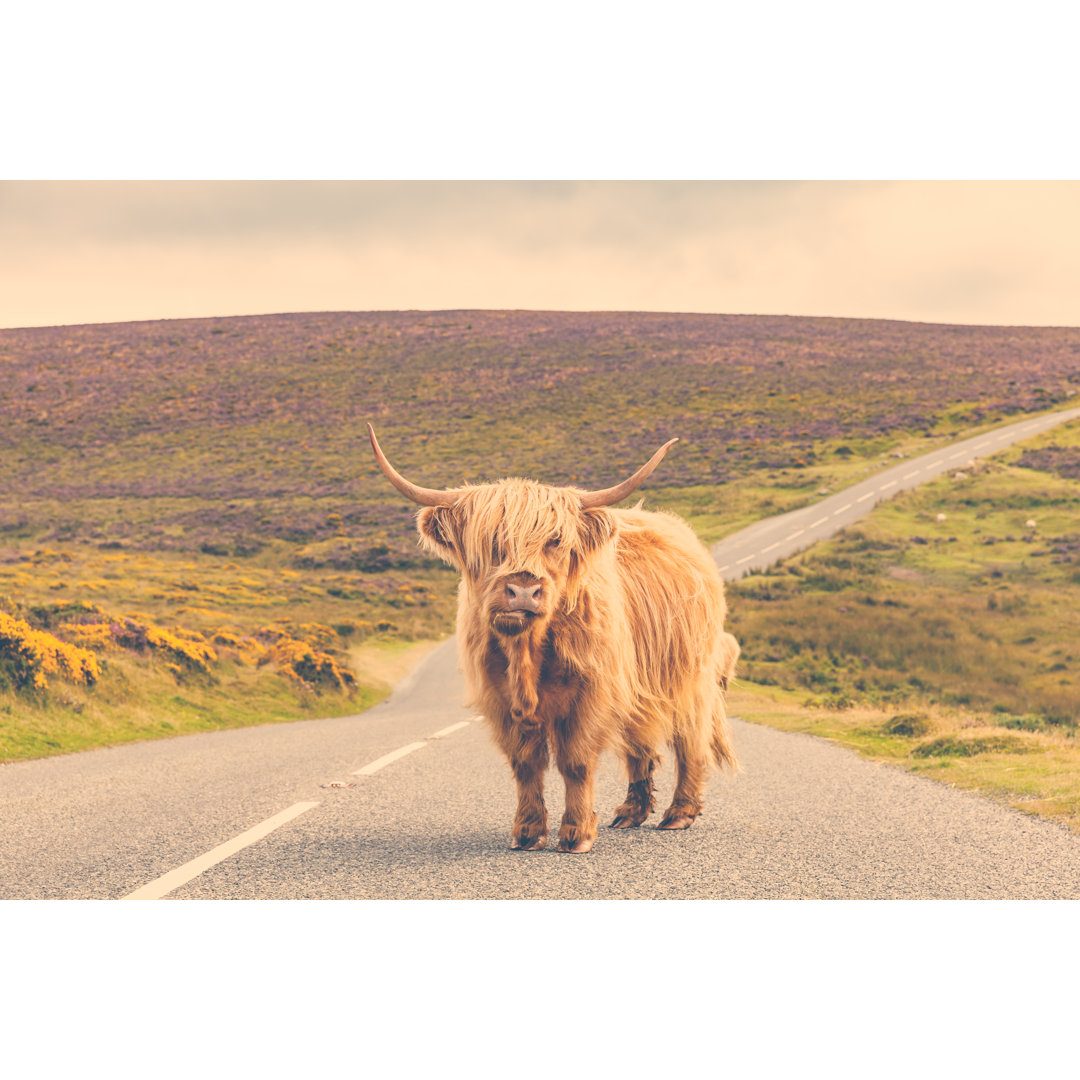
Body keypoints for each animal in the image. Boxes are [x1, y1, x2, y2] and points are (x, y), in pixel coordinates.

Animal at [367, 423, 738, 851]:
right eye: (491, 541)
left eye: (555, 540)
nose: (523, 590)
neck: (526, 653)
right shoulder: (500, 698)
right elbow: (525, 764)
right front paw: (527, 832)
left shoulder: (592, 692)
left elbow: (575, 761)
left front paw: (576, 834)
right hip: (637, 687)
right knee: (639, 743)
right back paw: (631, 813)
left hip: (690, 677)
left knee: (690, 739)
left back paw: (679, 813)